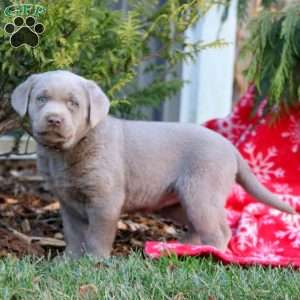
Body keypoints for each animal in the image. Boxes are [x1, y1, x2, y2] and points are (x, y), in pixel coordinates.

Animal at [11, 69, 292, 258]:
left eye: (73, 103)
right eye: (41, 99)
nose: (54, 119)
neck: (65, 152)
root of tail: (230, 147)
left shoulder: (105, 200)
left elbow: (96, 234)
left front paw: (94, 261)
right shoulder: (67, 201)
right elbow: (73, 233)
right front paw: (69, 261)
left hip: (202, 191)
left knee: (219, 230)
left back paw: (213, 254)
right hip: (176, 201)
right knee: (197, 224)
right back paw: (187, 248)